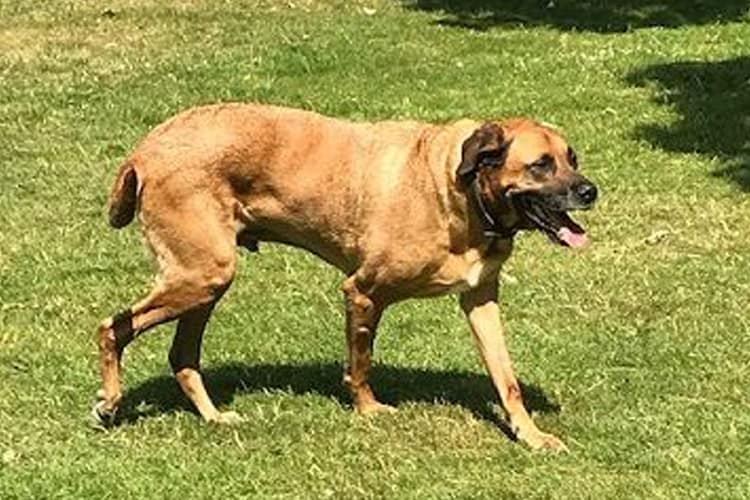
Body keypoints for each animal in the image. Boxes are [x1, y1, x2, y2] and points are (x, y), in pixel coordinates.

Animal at [94, 103, 600, 452]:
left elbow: (507, 379)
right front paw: (368, 410)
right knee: (111, 326)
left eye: (572, 158)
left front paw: (531, 435)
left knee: (181, 355)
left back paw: (213, 417)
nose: (590, 190)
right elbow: (361, 364)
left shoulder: (480, 298)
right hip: (202, 275)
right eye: (541, 164)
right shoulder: (362, 291)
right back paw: (110, 402)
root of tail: (144, 150)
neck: (459, 190)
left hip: (206, 282)